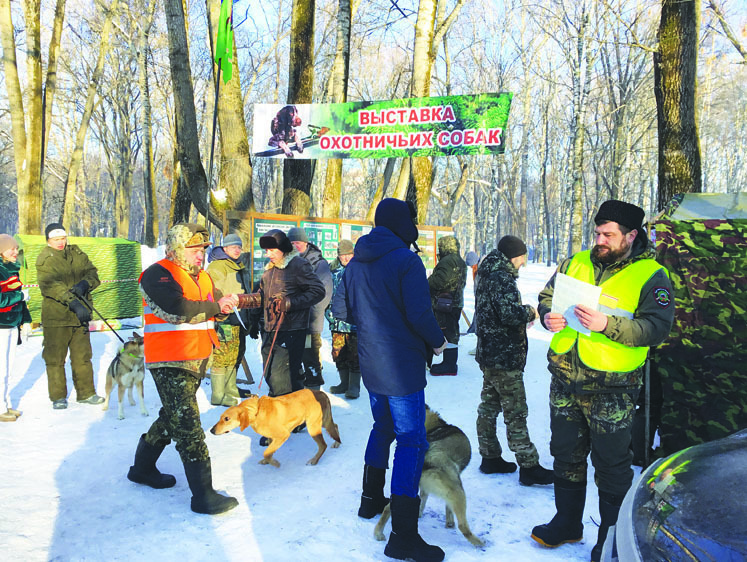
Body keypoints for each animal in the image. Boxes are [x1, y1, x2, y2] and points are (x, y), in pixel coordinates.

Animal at [209, 388, 340, 466]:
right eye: (220, 417)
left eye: (227, 419)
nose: (211, 430)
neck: (257, 412)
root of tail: (321, 393)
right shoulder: (272, 437)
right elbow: (269, 452)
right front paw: (268, 461)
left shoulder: (282, 435)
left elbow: (266, 453)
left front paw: (275, 463)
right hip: (322, 422)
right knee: (335, 426)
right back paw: (337, 443)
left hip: (313, 426)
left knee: (323, 445)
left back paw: (314, 460)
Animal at [374, 404, 486, 544]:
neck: (435, 426)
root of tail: (427, 460)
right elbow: (447, 508)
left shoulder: (423, 489)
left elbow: (425, 501)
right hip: (458, 491)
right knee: (463, 526)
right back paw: (478, 542)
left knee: (387, 508)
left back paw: (378, 532)